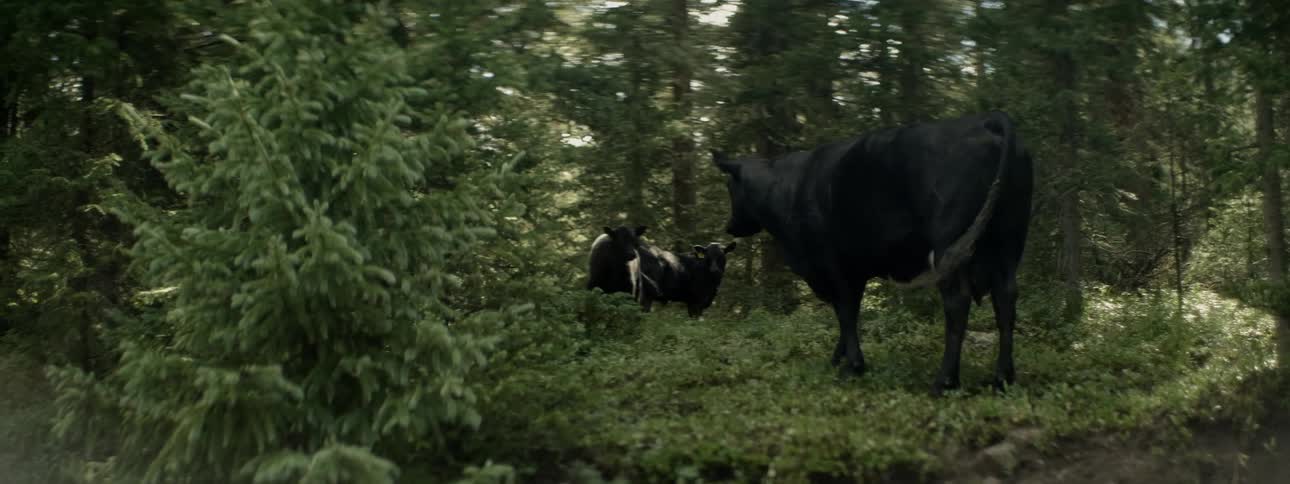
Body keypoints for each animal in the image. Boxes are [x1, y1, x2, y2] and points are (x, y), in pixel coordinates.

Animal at [712, 111, 1033, 396]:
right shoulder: (854, 270)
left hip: (950, 243)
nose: (729, 226)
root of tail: (985, 120)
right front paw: (839, 358)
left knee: (957, 303)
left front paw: (852, 365)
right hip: (1009, 241)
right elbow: (848, 314)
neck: (789, 188)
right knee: (1006, 299)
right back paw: (1003, 378)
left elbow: (845, 312)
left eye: (729, 187)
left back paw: (945, 382)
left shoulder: (834, 264)